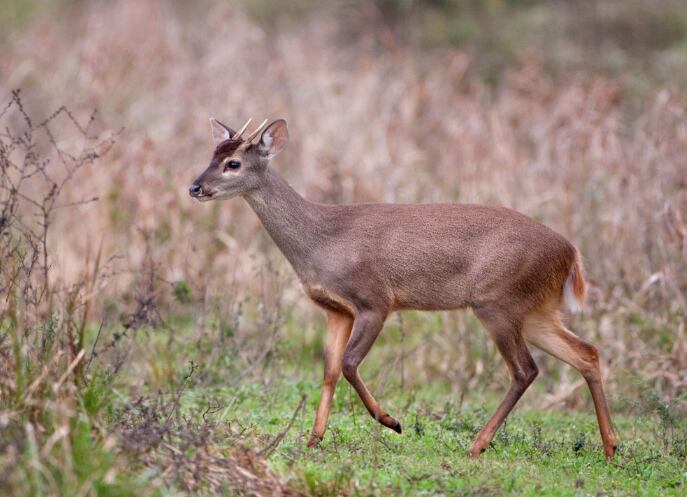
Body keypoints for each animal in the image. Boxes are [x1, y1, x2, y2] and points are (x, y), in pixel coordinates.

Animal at [188, 118, 620, 460]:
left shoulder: (375, 300)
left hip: (497, 301)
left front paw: (391, 421)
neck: (321, 240)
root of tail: (571, 253)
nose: (194, 187)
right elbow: (329, 370)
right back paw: (611, 446)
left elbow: (349, 364)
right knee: (587, 353)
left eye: (233, 163)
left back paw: (477, 444)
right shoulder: (335, 309)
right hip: (534, 311)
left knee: (525, 369)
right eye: (212, 154)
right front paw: (313, 439)